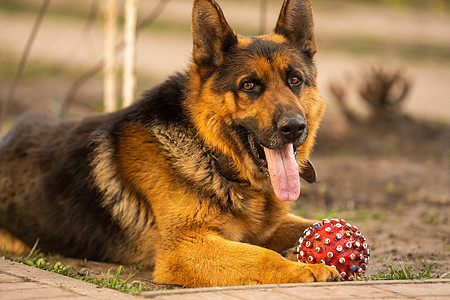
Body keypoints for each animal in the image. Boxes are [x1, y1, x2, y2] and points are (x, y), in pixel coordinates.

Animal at [0, 0, 338, 286]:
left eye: (295, 80)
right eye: (249, 85)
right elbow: (260, 256)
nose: (294, 127)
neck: (210, 153)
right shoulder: (184, 247)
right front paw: (306, 268)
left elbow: (312, 224)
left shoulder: (265, 228)